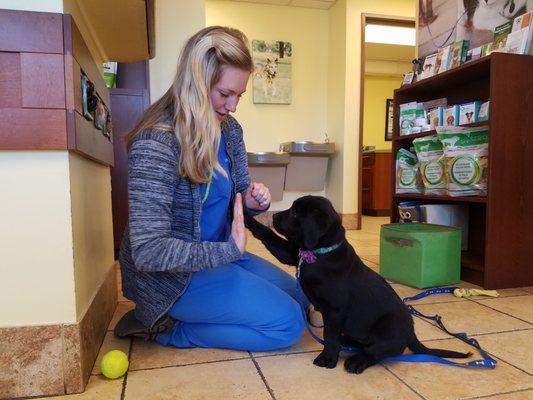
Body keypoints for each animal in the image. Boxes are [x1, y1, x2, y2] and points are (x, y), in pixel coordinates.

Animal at [243, 195, 468, 374]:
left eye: (296, 213)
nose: (273, 217)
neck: (322, 253)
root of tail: (411, 333)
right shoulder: (293, 254)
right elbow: (267, 234)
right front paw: (244, 214)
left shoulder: (334, 311)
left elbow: (329, 336)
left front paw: (327, 358)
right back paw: (348, 343)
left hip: (387, 328)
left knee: (377, 351)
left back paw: (356, 361)